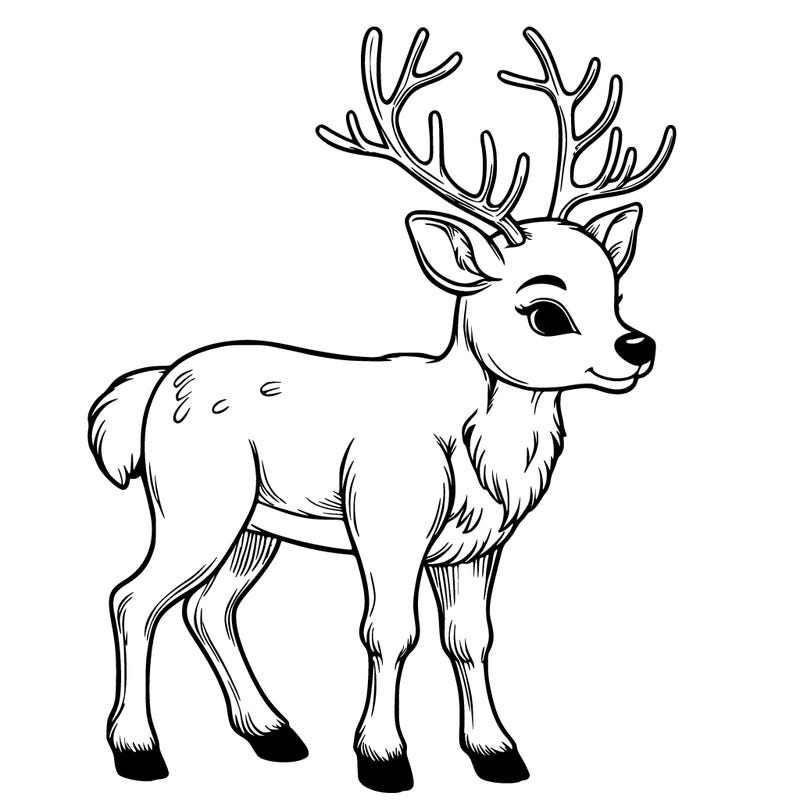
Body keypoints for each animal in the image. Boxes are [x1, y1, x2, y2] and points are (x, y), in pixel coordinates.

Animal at [88, 26, 675, 793]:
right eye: (546, 311)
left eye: (617, 292)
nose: (638, 347)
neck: (475, 450)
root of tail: (151, 391)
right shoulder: (387, 520)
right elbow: (390, 632)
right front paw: (383, 760)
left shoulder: (475, 546)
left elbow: (471, 638)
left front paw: (496, 753)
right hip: (196, 501)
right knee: (134, 598)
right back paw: (138, 750)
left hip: (256, 526)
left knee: (208, 608)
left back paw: (274, 734)